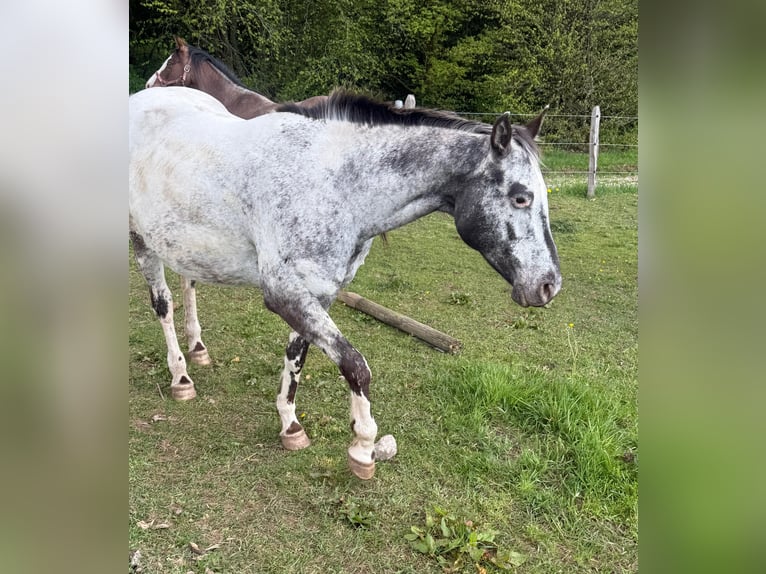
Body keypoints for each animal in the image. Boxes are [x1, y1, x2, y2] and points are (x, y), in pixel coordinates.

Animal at [129, 86, 561, 479]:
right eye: (521, 197)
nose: (548, 285)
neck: (334, 183)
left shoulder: (317, 292)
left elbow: (297, 357)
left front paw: (290, 425)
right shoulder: (284, 293)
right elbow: (356, 366)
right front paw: (364, 446)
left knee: (189, 286)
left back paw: (198, 349)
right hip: (143, 242)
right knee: (163, 304)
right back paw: (181, 377)